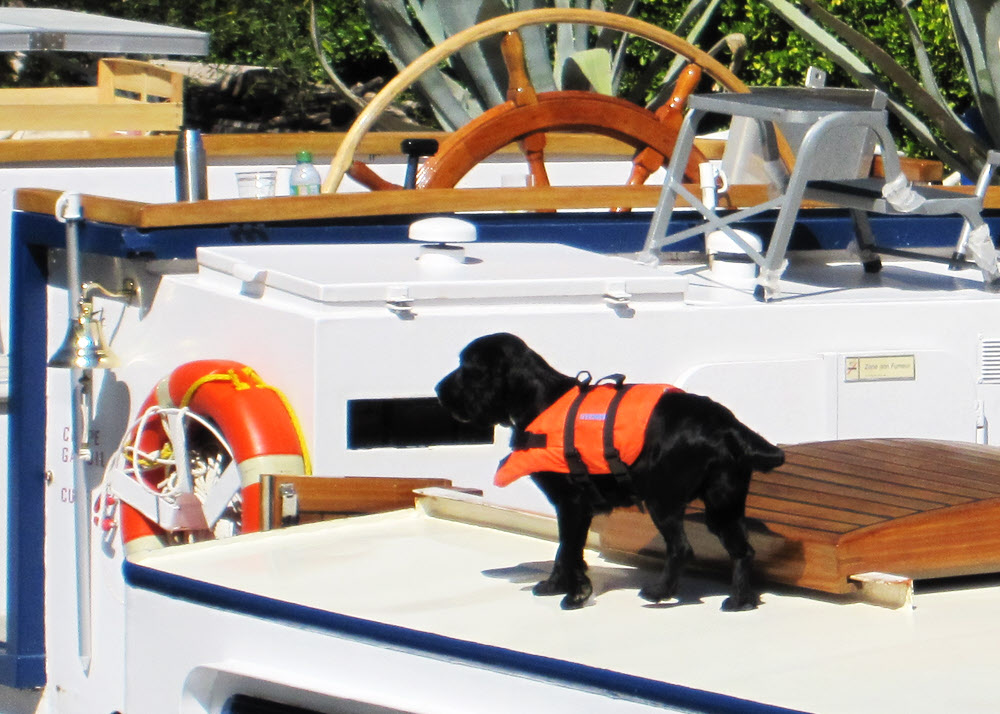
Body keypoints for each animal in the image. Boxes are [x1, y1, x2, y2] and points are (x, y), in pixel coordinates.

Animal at [434, 330, 784, 608]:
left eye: (468, 368)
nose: (437, 390)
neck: (540, 401)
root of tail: (725, 426)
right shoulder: (578, 507)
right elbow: (567, 551)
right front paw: (557, 585)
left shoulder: (571, 503)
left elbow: (568, 550)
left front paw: (574, 595)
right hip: (723, 503)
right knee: (743, 551)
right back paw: (740, 600)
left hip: (664, 499)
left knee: (682, 549)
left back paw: (660, 592)